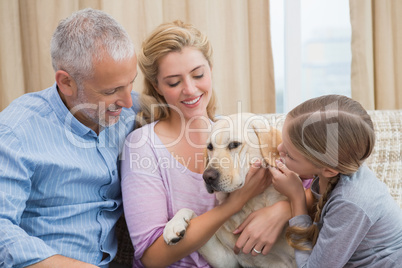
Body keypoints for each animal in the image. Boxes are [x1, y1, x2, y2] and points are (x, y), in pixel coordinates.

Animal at [163, 113, 296, 268]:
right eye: (210, 147)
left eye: (234, 144)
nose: (207, 177)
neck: (250, 205)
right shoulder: (226, 259)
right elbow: (190, 211)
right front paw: (173, 225)